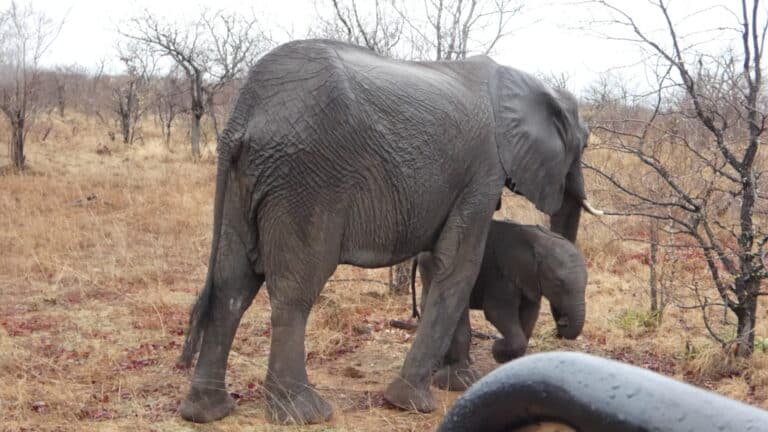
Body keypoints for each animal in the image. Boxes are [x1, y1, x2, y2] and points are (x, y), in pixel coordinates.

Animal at [412, 220, 588, 390]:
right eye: (558, 283)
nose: (563, 321)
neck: (540, 241)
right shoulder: (502, 274)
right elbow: (497, 311)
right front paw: (498, 351)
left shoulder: (529, 279)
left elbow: (530, 314)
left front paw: (511, 361)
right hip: (431, 266)